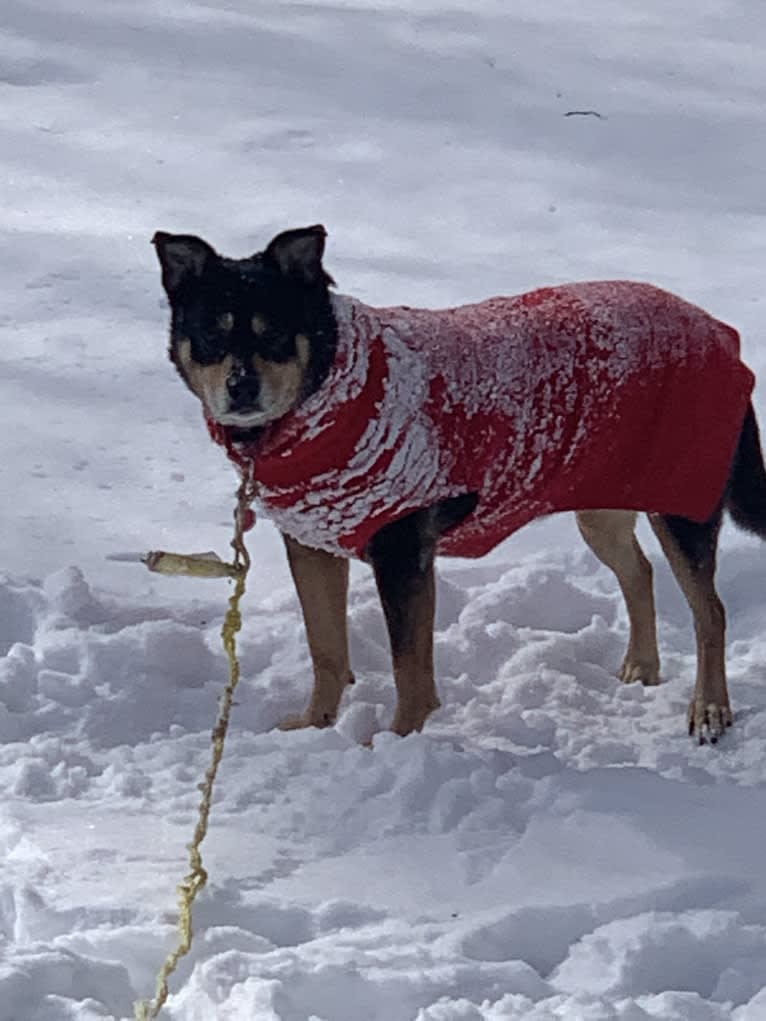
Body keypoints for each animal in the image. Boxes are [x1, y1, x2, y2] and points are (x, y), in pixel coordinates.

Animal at [151, 225, 766, 743]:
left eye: (275, 331)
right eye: (208, 333)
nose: (241, 388)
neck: (325, 389)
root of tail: (721, 333)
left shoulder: (402, 549)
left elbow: (408, 668)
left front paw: (398, 741)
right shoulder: (312, 542)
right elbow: (325, 648)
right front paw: (314, 727)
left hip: (685, 496)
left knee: (710, 612)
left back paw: (710, 709)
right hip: (604, 497)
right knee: (639, 572)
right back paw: (642, 665)